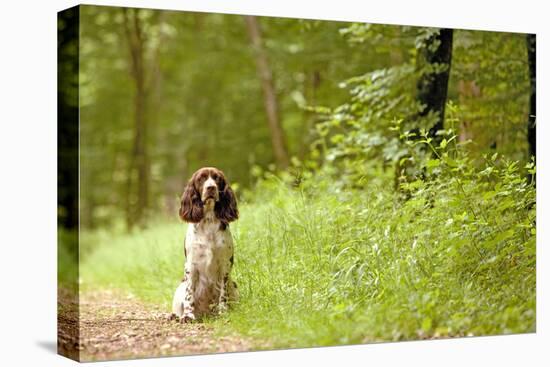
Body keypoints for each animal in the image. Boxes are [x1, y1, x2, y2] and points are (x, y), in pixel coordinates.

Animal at [172, 168, 239, 324]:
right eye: (201, 178)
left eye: (217, 178)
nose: (211, 187)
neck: (208, 220)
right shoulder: (191, 265)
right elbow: (189, 294)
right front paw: (188, 316)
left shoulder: (225, 265)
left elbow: (223, 294)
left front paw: (223, 312)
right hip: (179, 288)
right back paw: (174, 316)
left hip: (234, 285)